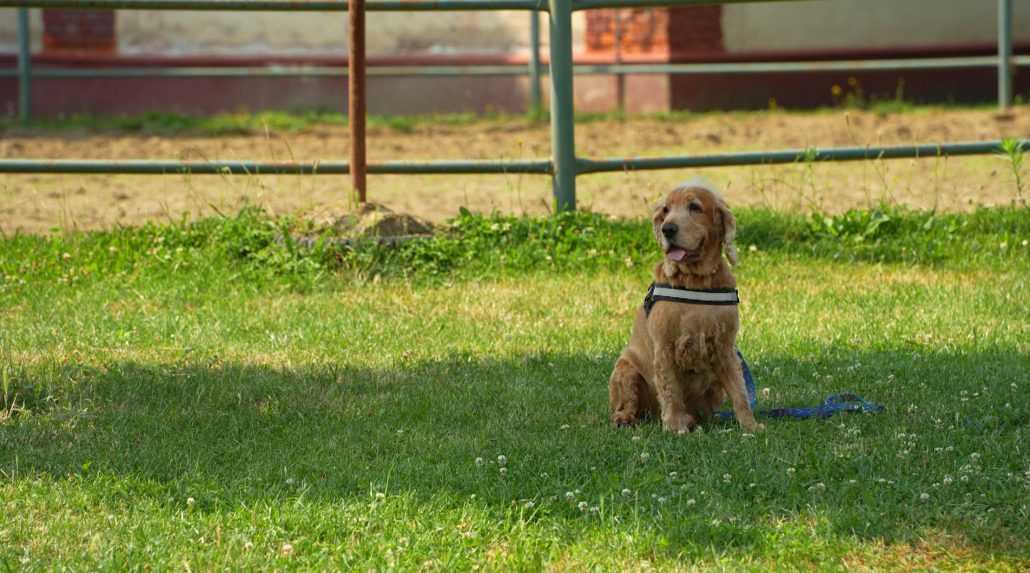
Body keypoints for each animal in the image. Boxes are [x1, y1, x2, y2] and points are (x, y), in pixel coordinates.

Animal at [605, 181, 762, 432]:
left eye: (694, 207)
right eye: (666, 210)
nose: (667, 229)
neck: (696, 281)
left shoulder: (726, 348)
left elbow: (740, 392)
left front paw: (750, 426)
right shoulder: (665, 348)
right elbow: (671, 389)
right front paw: (675, 425)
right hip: (625, 370)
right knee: (627, 404)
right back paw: (627, 419)